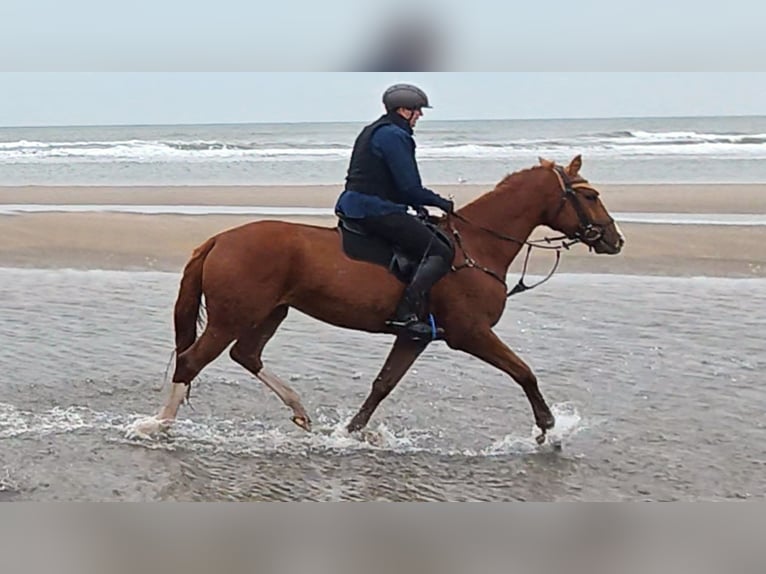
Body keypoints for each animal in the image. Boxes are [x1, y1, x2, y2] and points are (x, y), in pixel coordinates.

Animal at [133, 155, 624, 445]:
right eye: (590, 195)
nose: (615, 240)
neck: (476, 247)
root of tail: (219, 238)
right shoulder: (470, 333)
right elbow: (524, 372)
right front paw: (549, 430)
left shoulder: (415, 337)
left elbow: (383, 385)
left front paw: (349, 434)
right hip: (233, 316)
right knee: (192, 361)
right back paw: (159, 424)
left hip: (270, 311)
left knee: (246, 356)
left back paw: (300, 412)